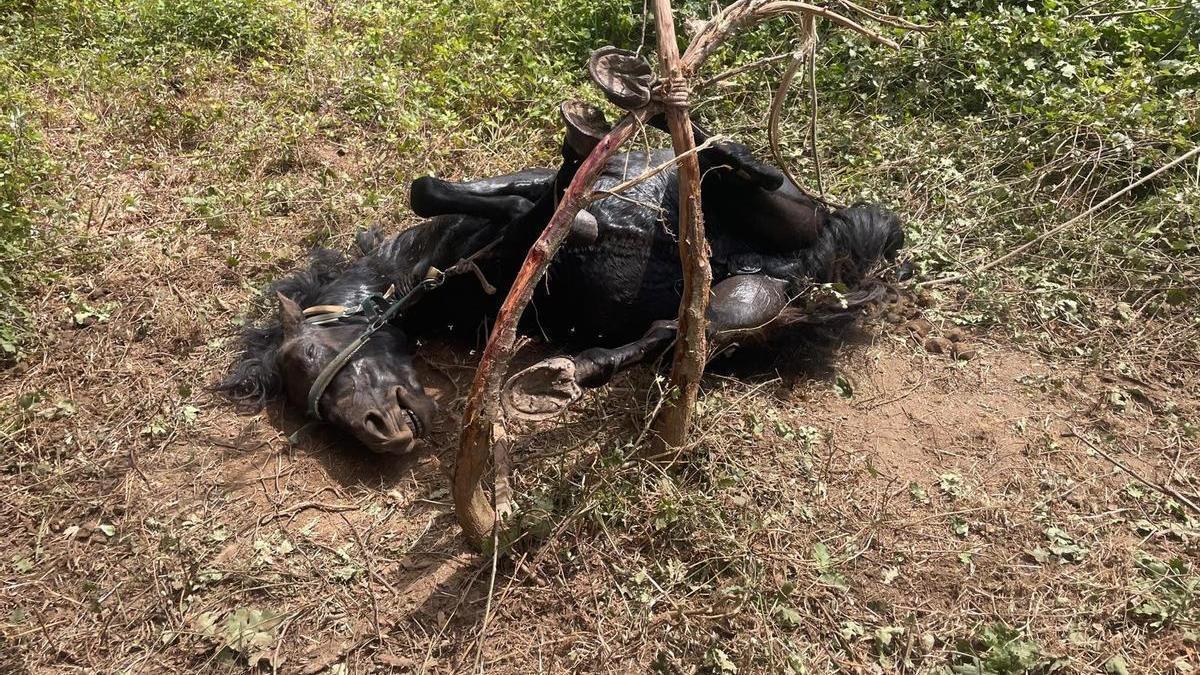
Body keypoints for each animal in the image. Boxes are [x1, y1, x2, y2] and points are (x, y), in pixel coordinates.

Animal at [218, 102, 905, 454]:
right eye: (313, 408)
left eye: (311, 354)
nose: (381, 433)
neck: (446, 266)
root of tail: (822, 260)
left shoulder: (505, 194)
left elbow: (442, 190)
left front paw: (574, 204)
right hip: (747, 301)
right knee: (677, 332)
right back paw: (569, 373)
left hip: (775, 217)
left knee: (736, 172)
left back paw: (703, 137)